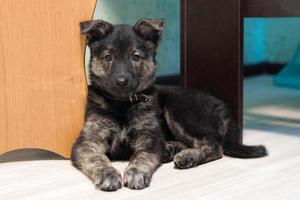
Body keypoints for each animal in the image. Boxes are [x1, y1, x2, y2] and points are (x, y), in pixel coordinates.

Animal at [71, 19, 268, 192]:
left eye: (135, 57)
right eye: (108, 57)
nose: (121, 82)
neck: (123, 104)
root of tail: (223, 108)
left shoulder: (149, 138)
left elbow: (142, 155)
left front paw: (136, 172)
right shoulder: (88, 141)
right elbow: (97, 158)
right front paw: (107, 173)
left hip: (178, 108)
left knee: (214, 145)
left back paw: (187, 155)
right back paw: (171, 149)